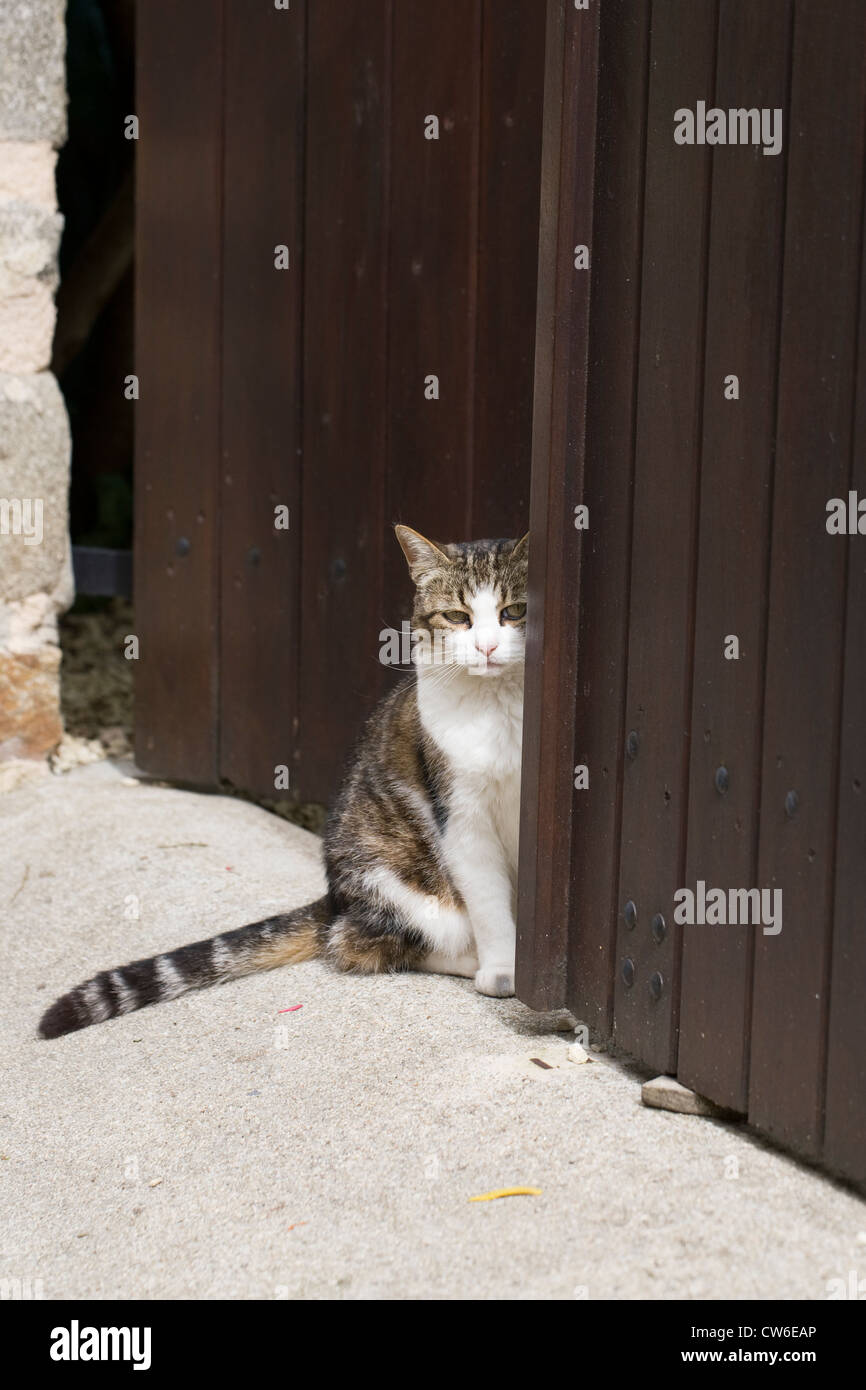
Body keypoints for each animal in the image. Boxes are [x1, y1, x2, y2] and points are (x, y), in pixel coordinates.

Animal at [38, 525, 528, 1039]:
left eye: (515, 611)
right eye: (457, 617)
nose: (488, 648)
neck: (500, 708)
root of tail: (335, 900)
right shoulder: (461, 814)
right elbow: (488, 899)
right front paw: (502, 970)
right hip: (393, 878)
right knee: (359, 943)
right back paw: (465, 958)